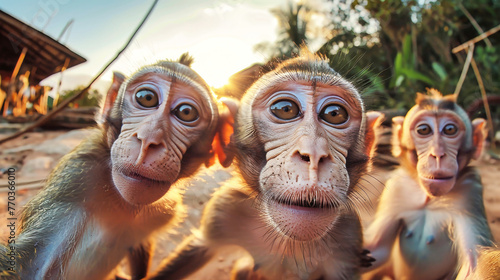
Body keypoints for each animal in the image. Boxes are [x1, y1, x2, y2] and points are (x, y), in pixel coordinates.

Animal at [148, 50, 382, 280]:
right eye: (285, 109)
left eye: (334, 114)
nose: (315, 153)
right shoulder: (225, 208)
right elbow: (199, 247)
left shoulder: (348, 234)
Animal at [362, 89, 494, 280]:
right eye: (423, 130)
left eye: (450, 130)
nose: (437, 154)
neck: (429, 198)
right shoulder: (397, 186)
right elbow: (377, 249)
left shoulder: (470, 191)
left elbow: (473, 265)